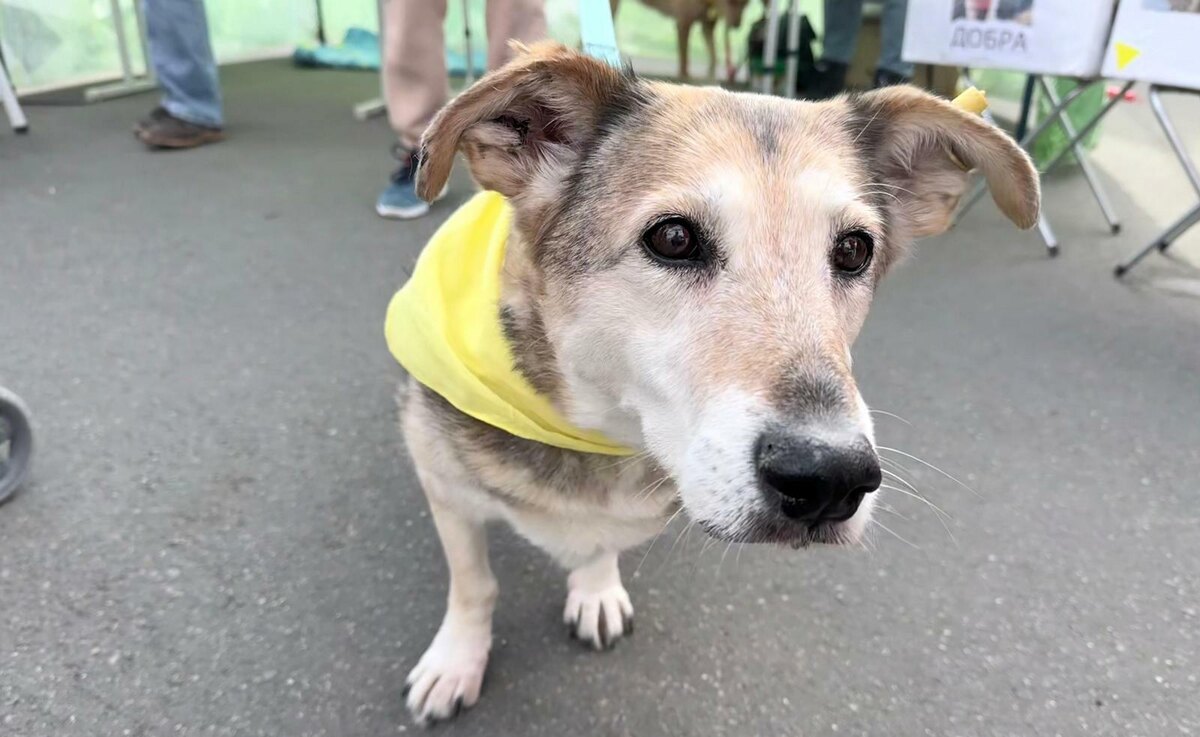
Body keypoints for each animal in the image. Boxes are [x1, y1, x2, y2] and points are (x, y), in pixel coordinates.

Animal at [391, 41, 1039, 724]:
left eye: (854, 250)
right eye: (673, 237)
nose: (830, 479)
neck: (596, 432)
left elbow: (595, 546)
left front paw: (595, 586)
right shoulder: (446, 491)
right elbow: (475, 586)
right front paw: (456, 660)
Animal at [610, 0, 751, 80]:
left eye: (745, 5)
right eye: (731, 2)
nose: (737, 25)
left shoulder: (708, 26)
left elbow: (713, 55)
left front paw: (711, 73)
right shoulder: (684, 22)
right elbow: (684, 56)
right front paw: (684, 75)